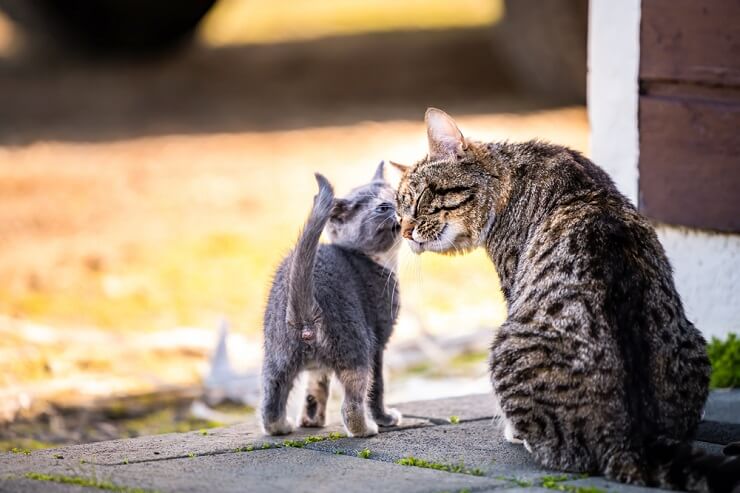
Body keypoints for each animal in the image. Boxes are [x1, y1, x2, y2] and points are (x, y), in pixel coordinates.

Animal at [258, 161, 402, 434]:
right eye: (383, 207)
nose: (400, 207)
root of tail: (303, 315)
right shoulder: (379, 341)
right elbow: (377, 388)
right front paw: (385, 418)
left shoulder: (317, 369)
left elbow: (315, 388)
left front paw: (311, 420)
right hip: (357, 345)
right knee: (352, 403)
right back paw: (365, 429)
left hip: (277, 355)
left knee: (270, 400)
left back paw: (282, 426)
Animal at [396, 108, 736, 492]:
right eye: (398, 211)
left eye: (418, 201)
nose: (404, 231)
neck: (512, 176)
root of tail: (635, 438)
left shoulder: (513, 284)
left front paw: (512, 430)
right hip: (695, 344)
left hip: (504, 346)